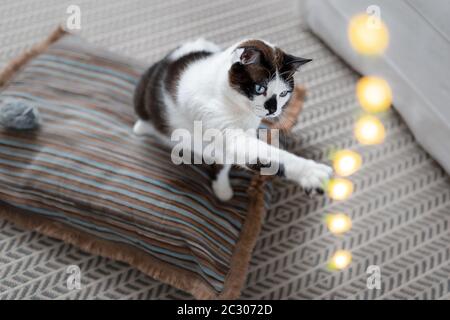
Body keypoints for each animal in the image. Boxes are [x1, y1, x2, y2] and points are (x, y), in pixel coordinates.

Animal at [132, 38, 332, 201]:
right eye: (260, 88)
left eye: (283, 93)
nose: (272, 110)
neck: (239, 108)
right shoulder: (213, 117)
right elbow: (268, 154)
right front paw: (312, 171)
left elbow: (229, 161)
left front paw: (221, 188)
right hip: (143, 92)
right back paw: (143, 127)